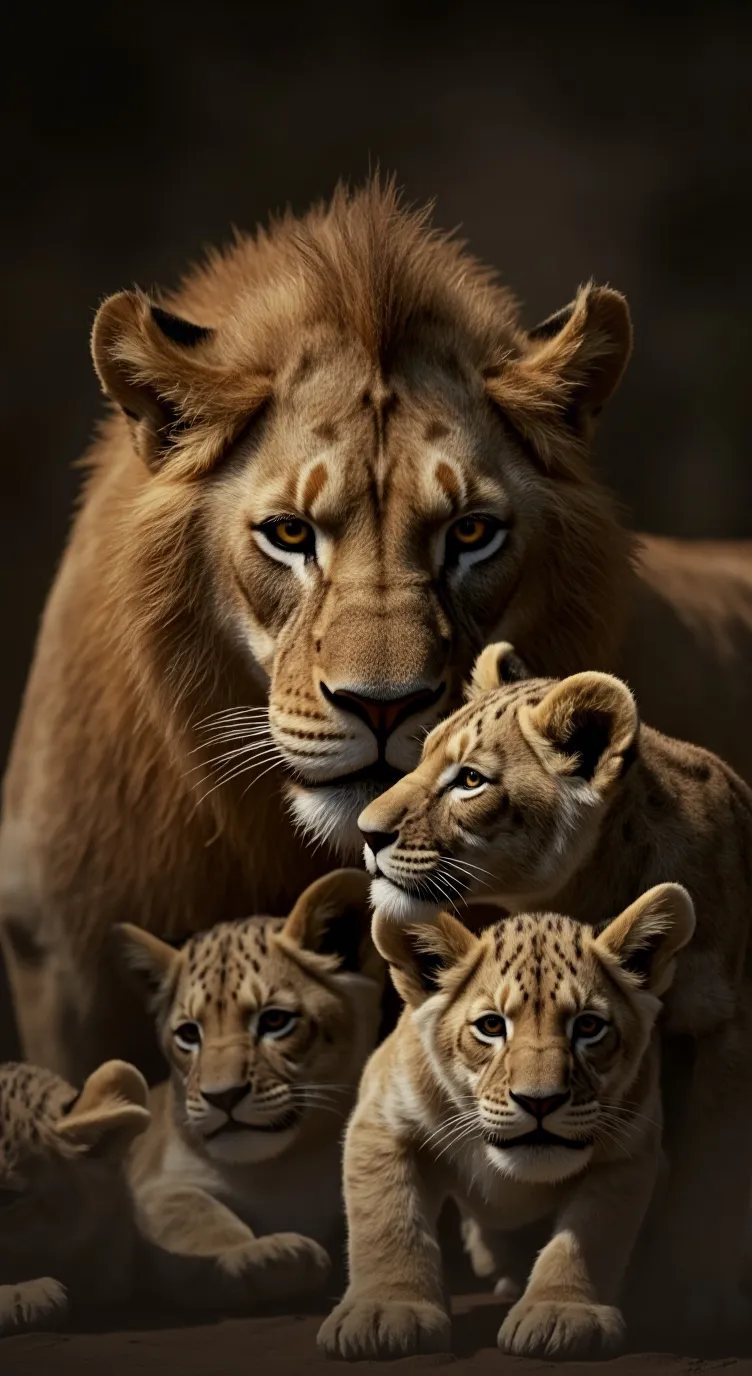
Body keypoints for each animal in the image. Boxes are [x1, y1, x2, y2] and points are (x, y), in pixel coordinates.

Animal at [318, 888, 694, 1360]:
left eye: (589, 1025)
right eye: (492, 1026)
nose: (540, 1101)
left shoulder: (630, 1149)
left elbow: (589, 1235)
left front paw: (561, 1312)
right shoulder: (381, 1120)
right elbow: (387, 1219)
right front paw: (385, 1311)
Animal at [356, 641, 752, 1341]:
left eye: (470, 780)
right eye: (423, 756)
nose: (366, 832)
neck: (587, 894)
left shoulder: (723, 1031)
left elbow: (714, 1166)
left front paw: (699, 1293)